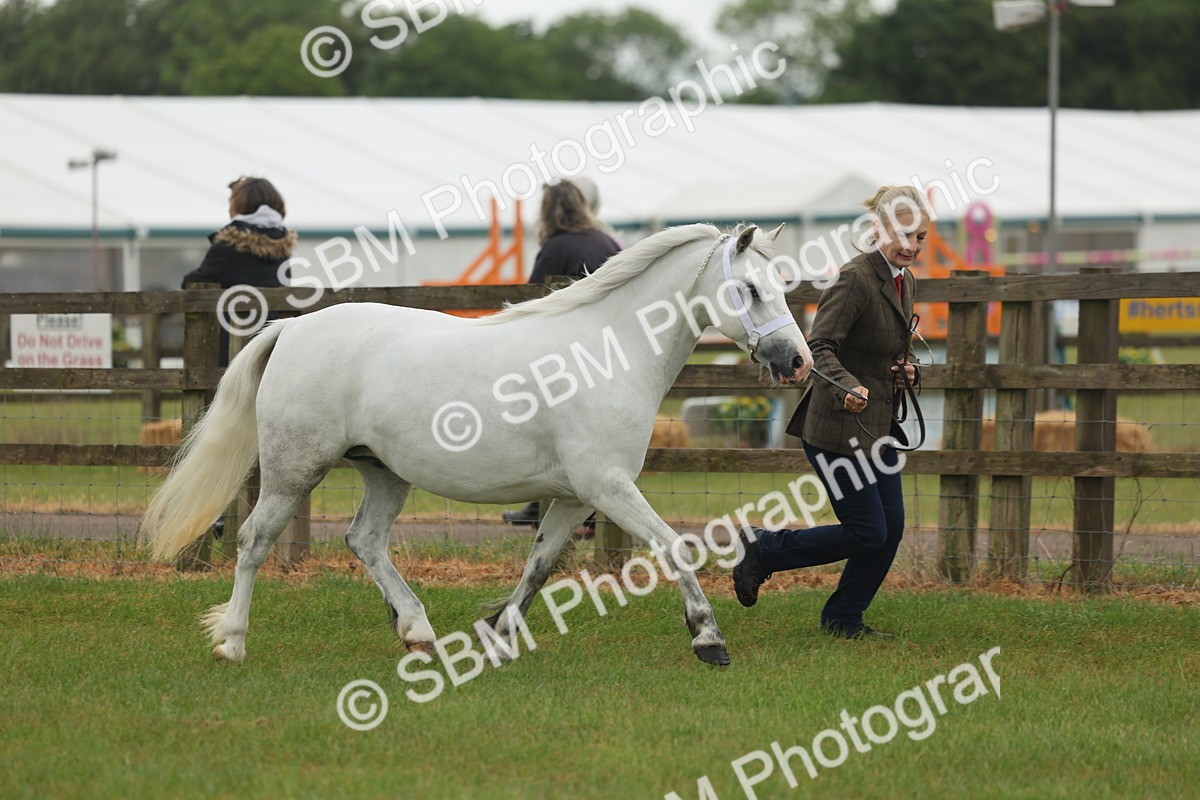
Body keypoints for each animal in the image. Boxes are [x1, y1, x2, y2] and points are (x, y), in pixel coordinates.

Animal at [142, 222, 814, 666]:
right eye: (750, 290)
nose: (797, 363)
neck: (608, 353)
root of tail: (291, 328)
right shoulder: (609, 487)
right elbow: (673, 548)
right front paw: (709, 639)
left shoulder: (576, 497)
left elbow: (539, 565)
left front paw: (498, 634)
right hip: (293, 470)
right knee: (255, 541)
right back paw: (232, 641)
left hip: (384, 472)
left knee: (365, 541)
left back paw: (416, 630)